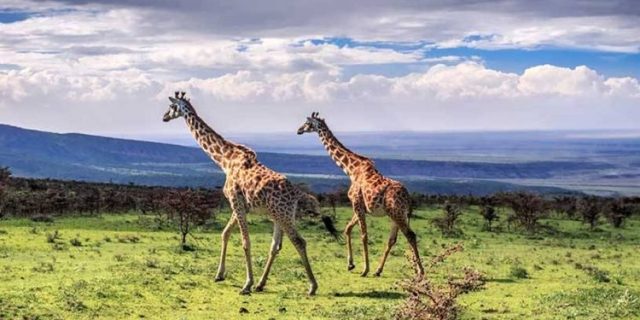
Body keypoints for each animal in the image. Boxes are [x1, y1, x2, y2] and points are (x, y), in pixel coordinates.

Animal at [162, 92, 338, 296]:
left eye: (171, 106)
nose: (164, 117)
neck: (225, 160)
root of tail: (297, 193)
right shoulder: (240, 204)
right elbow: (225, 234)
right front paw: (219, 275)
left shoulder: (235, 201)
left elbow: (245, 242)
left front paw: (246, 284)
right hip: (279, 215)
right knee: (276, 246)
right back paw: (261, 284)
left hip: (284, 215)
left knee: (299, 242)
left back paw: (312, 286)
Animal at [298, 112, 428, 278]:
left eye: (307, 123)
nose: (299, 130)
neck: (351, 170)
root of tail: (408, 198)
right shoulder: (360, 207)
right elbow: (348, 229)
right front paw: (350, 264)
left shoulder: (356, 204)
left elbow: (363, 235)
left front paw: (364, 269)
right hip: (397, 215)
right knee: (393, 239)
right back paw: (379, 270)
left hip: (397, 213)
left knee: (410, 235)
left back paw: (420, 271)